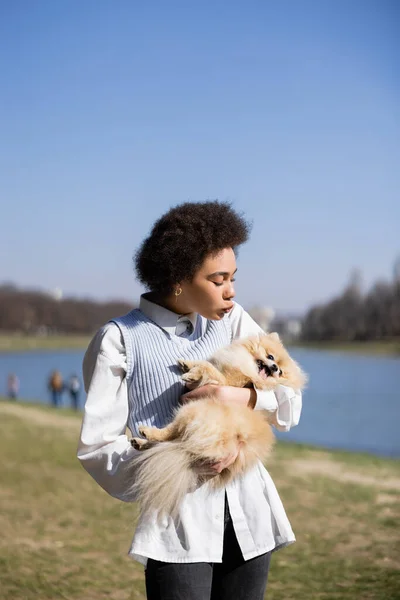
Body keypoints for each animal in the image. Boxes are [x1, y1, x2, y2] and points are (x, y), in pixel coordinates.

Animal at [129, 330, 306, 516]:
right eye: (270, 357)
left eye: (280, 372)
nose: (275, 368)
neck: (250, 372)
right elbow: (205, 363)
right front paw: (187, 364)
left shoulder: (225, 382)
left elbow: (208, 369)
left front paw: (190, 373)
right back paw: (140, 443)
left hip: (193, 410)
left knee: (169, 435)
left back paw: (147, 433)